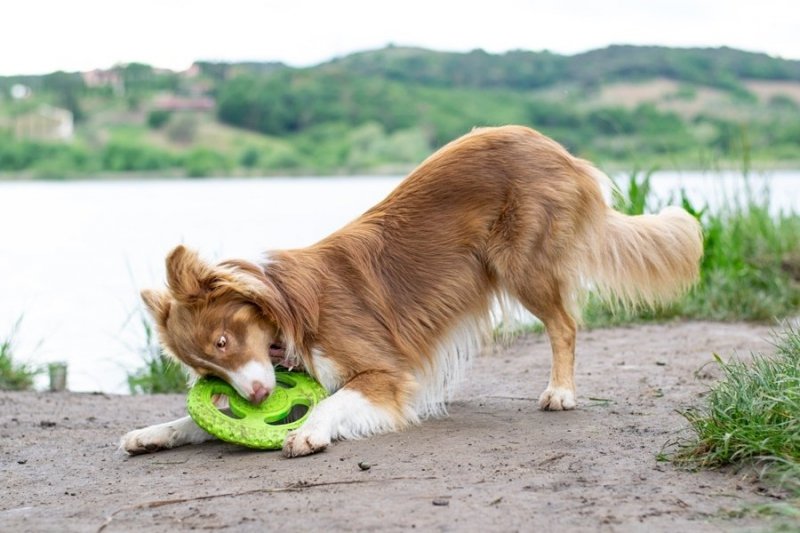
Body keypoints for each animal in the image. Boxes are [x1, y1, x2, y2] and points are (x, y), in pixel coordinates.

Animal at [119, 125, 700, 458]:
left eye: (222, 341)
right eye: (209, 373)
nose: (260, 398)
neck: (285, 307)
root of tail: (559, 150)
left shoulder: (383, 373)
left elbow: (333, 402)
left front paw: (308, 432)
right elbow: (195, 422)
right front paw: (155, 432)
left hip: (523, 265)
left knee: (565, 324)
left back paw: (560, 392)